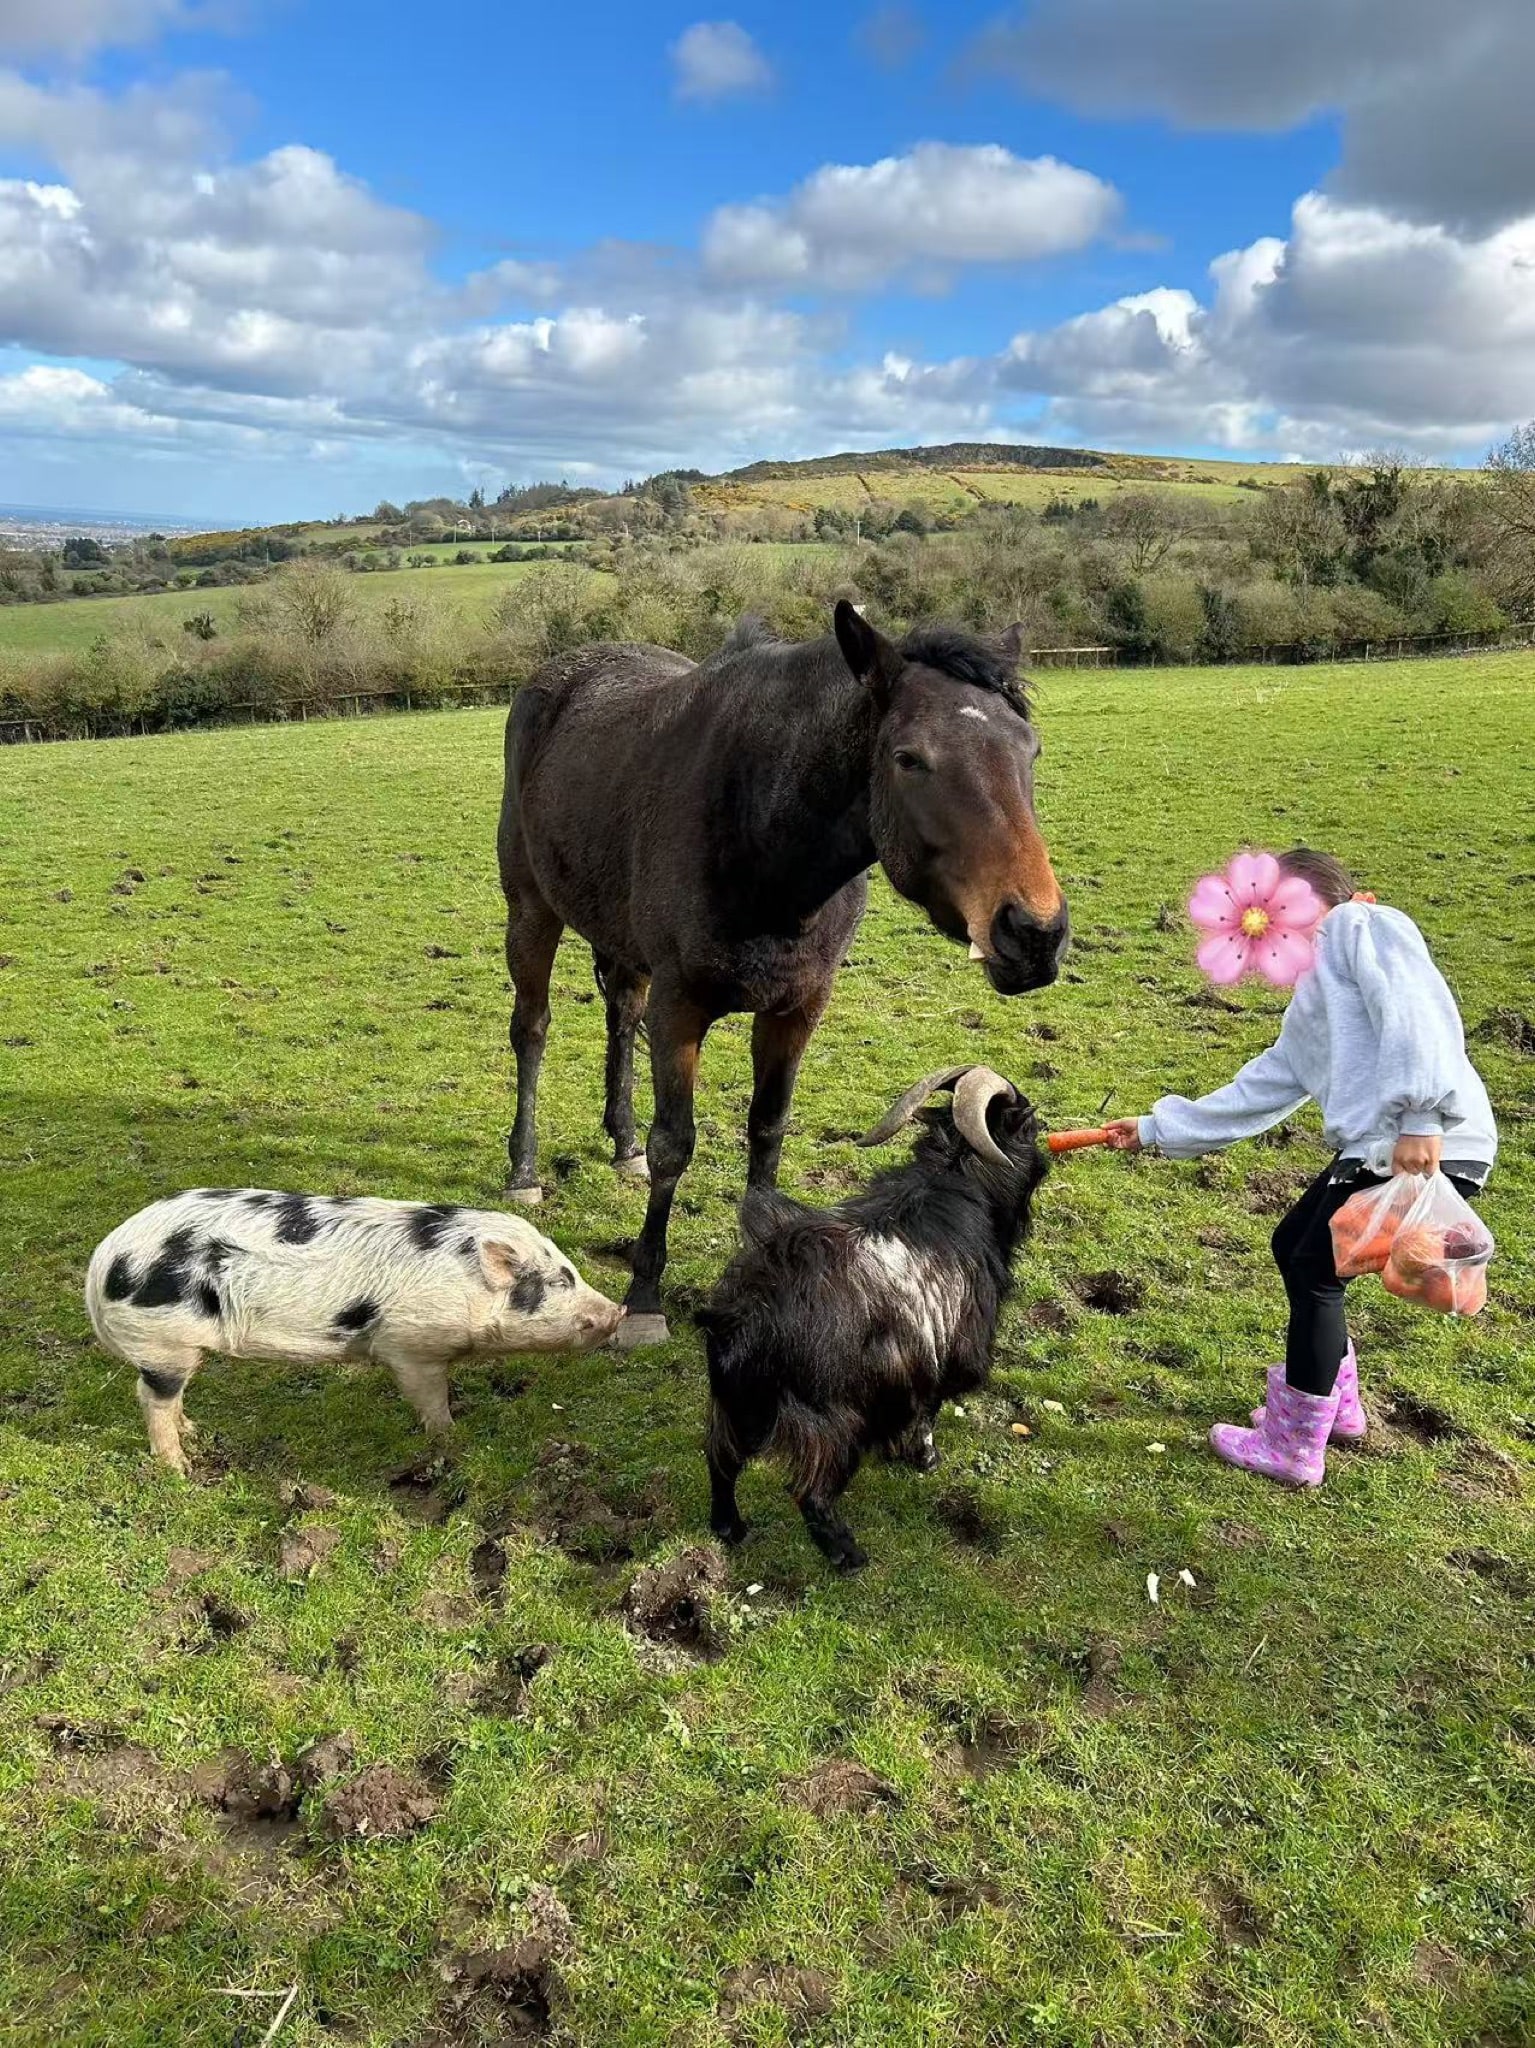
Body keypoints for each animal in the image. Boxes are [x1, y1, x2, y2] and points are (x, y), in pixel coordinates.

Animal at [85, 1189, 622, 1473]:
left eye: (572, 1271)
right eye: (560, 1280)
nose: (616, 1312)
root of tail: (104, 1257)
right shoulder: (411, 1346)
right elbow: (430, 1399)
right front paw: (451, 1437)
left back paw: (195, 1432)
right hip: (161, 1341)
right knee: (150, 1396)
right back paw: (178, 1467)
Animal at [495, 600, 1069, 1345]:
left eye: (1029, 749)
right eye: (908, 758)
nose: (1034, 933)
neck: (762, 836)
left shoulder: (798, 1005)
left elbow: (768, 1126)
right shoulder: (680, 1006)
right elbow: (674, 1144)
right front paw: (645, 1295)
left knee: (620, 1016)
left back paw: (620, 1143)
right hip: (531, 910)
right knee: (532, 1030)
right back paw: (524, 1168)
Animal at [698, 1066, 1047, 1570]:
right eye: (1029, 1125)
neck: (956, 1174)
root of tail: (741, 1321)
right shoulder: (942, 1357)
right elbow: (927, 1413)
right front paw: (925, 1458)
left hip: (736, 1407)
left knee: (720, 1461)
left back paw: (731, 1528)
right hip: (833, 1424)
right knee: (810, 1494)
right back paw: (848, 1555)